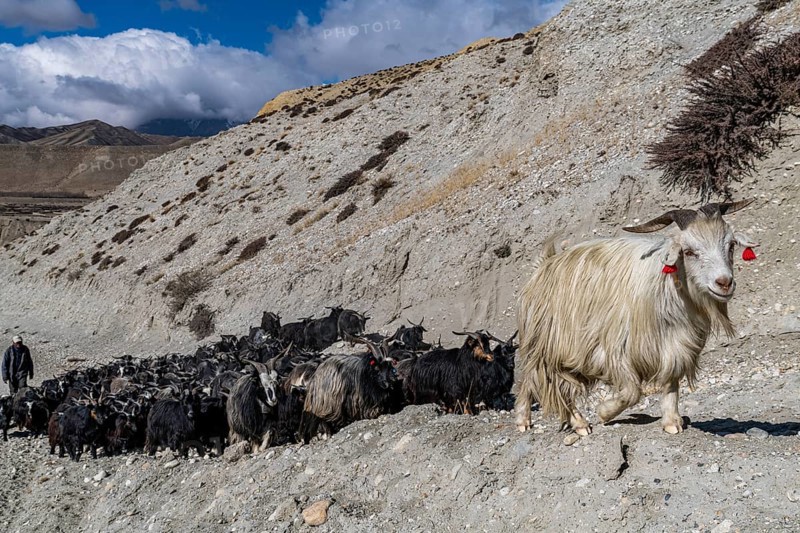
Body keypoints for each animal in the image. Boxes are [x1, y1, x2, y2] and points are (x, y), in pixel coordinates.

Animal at [515, 200, 757, 435]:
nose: (724, 283)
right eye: (688, 252)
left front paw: (671, 422)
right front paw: (604, 412)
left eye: (731, 246)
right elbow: (632, 392)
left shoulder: (676, 346)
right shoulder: (614, 350)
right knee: (541, 383)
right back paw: (542, 421)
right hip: (546, 348)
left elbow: (671, 385)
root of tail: (542, 266)